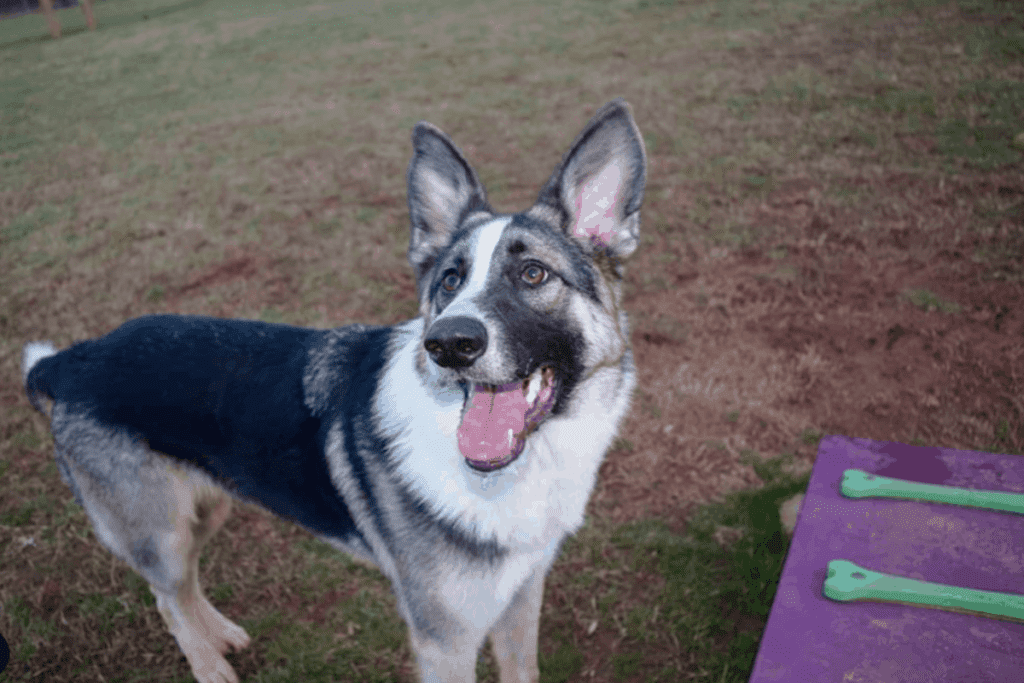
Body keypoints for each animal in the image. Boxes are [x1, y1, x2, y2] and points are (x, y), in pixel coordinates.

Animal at [22, 98, 647, 679]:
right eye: (450, 281)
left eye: (534, 274)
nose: (446, 344)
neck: (517, 469)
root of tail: (72, 358)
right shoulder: (443, 641)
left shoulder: (521, 596)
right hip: (161, 533)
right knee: (166, 597)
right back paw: (209, 665)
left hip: (208, 506)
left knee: (186, 584)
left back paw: (221, 634)